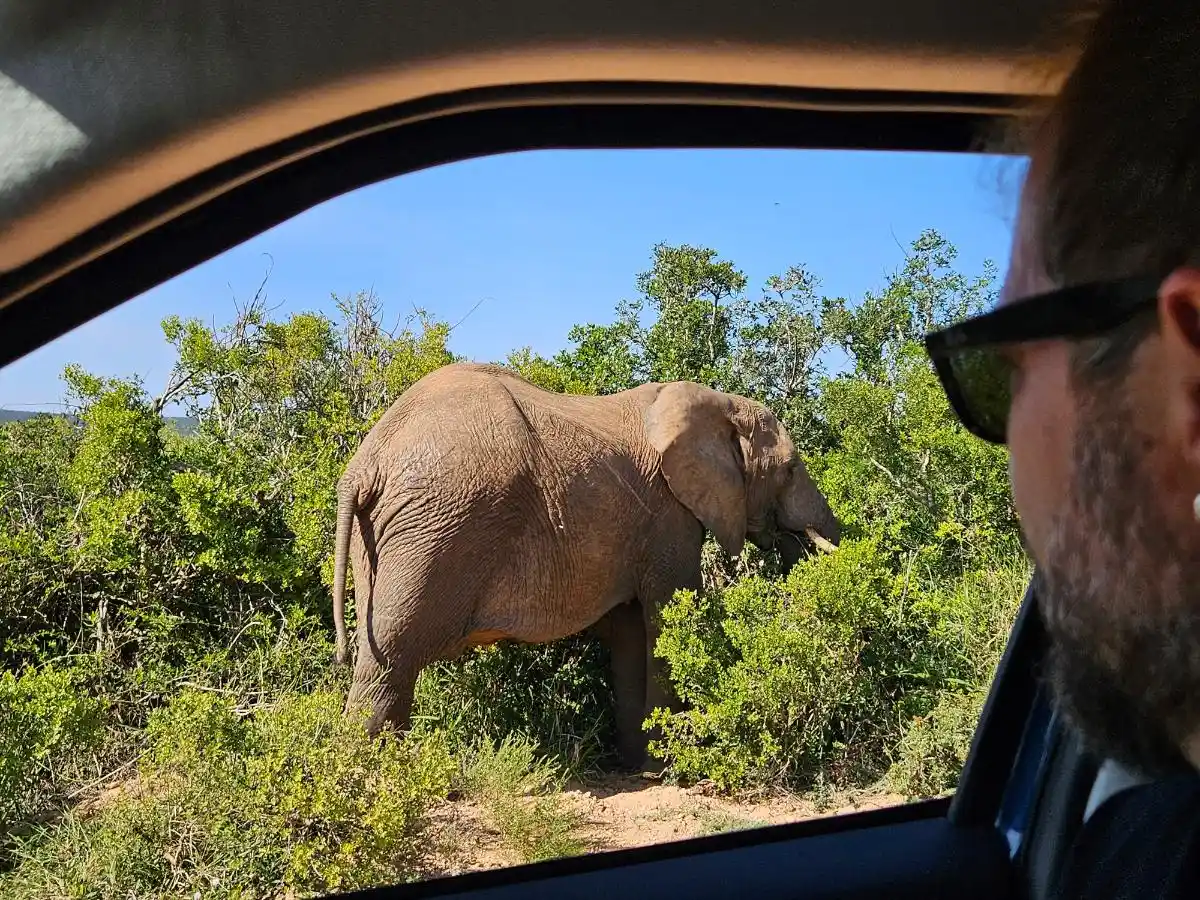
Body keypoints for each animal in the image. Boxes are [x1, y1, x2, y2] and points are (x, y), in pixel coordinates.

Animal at [331, 361, 841, 771]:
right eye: (791, 469)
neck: (718, 403)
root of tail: (366, 463)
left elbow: (632, 632)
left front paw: (639, 765)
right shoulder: (668, 515)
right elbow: (666, 617)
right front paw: (667, 766)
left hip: (381, 535)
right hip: (436, 525)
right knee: (393, 654)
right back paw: (373, 775)